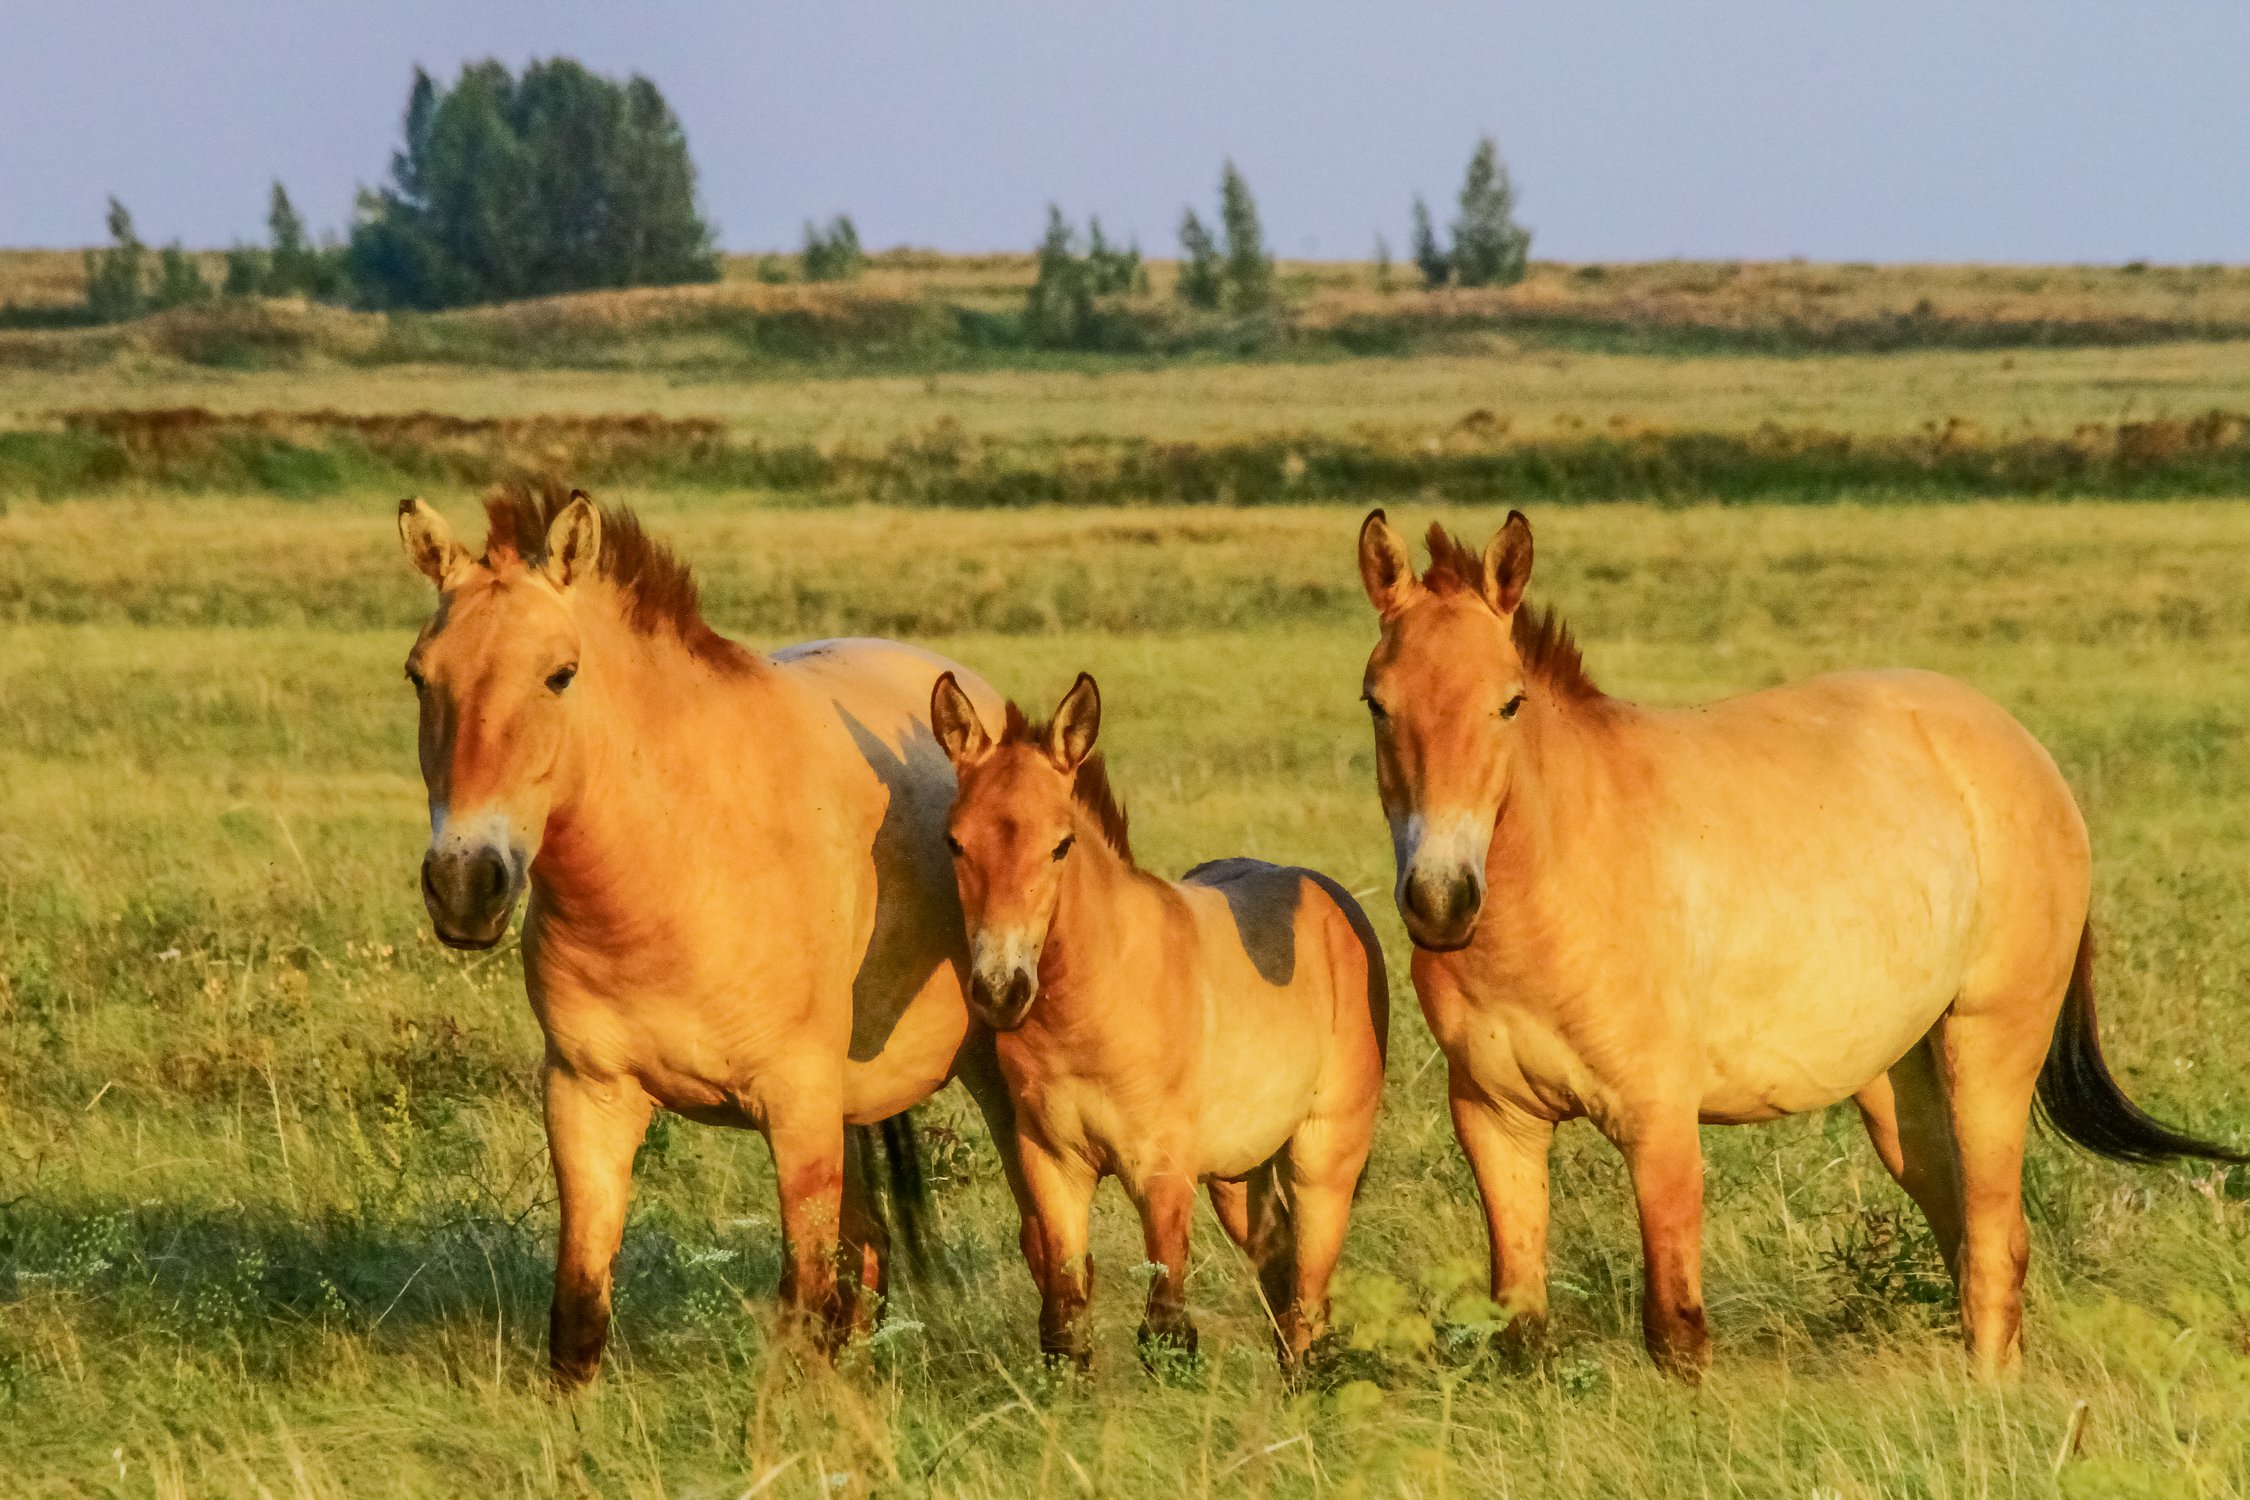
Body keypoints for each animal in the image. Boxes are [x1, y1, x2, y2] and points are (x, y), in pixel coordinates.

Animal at [398, 488, 1030, 1394]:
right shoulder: (588, 1099)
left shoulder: (796, 1110)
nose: (464, 882)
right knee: (868, 1252)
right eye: (420, 676)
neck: (675, 874)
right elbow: (580, 1308)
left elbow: (802, 1296)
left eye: (560, 674)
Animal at [931, 670, 1386, 1376]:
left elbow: (1167, 1329)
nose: (1001, 991)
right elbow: (1067, 1318)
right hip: (1236, 1172)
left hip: (1324, 1153)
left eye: (1060, 845)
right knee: (1279, 1261)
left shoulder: (1163, 1171)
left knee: (1310, 1289)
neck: (1094, 1007)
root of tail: (1332, 899)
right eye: (956, 842)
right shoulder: (1053, 1164)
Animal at [1341, 510, 2241, 1376]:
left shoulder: (1659, 1123)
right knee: (1967, 1233)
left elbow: (1675, 1329)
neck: (1557, 884)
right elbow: (1521, 1327)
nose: (1441, 899)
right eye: (1376, 703)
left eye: (1509, 702)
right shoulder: (1497, 1121)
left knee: (1994, 1244)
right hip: (1901, 1087)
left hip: (1990, 1048)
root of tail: (2024, 750)